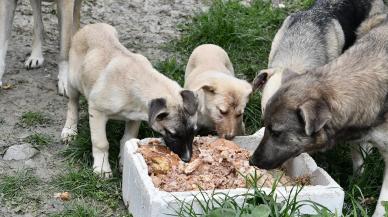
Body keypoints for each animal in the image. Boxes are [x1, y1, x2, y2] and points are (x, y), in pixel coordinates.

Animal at [62, 23, 200, 177]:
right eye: (172, 135)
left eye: (194, 132)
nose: (187, 159)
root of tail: (90, 26)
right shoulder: (97, 111)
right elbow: (101, 143)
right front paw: (102, 168)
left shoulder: (135, 117)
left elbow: (128, 138)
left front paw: (125, 161)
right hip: (73, 82)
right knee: (72, 104)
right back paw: (69, 129)